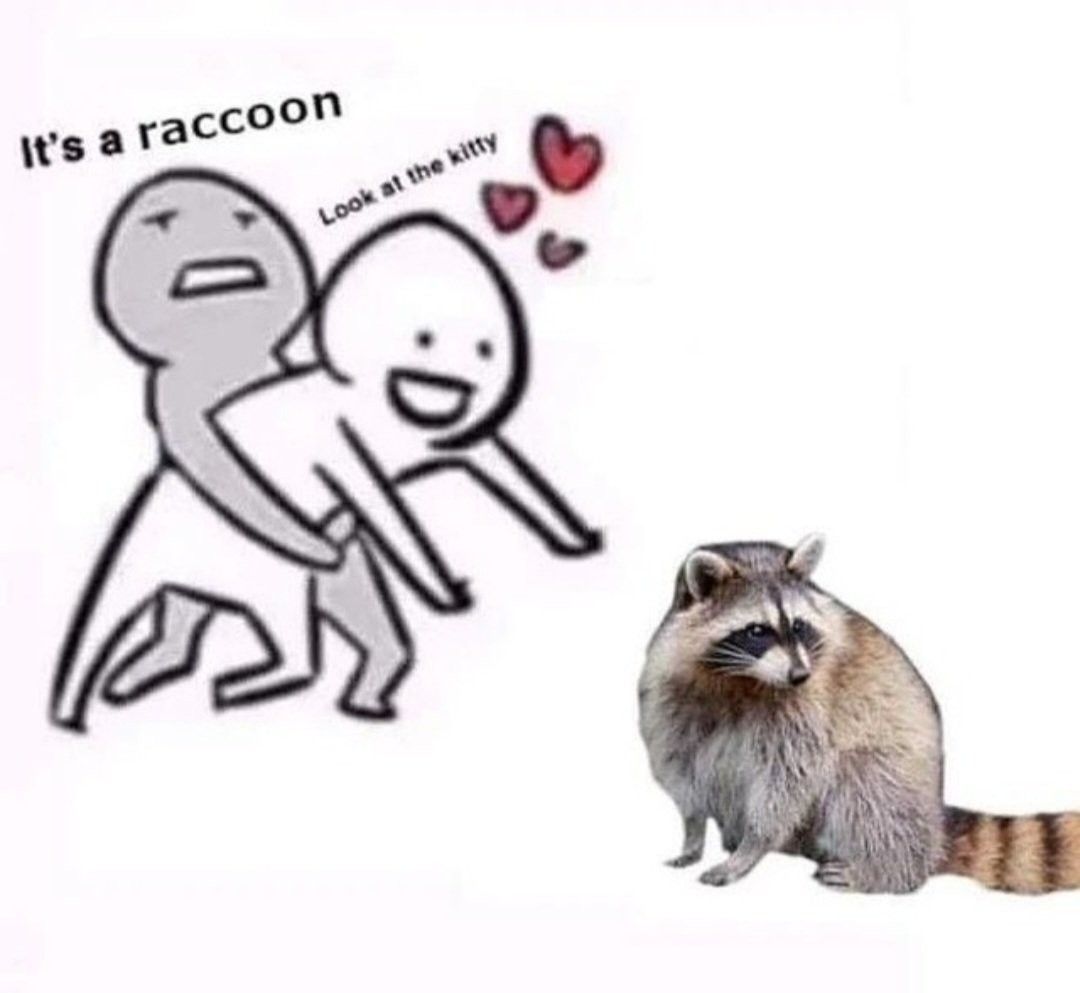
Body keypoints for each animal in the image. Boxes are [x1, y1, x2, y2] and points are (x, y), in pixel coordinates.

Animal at [638, 535, 1080, 894]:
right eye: (757, 630)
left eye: (798, 626)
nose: (799, 675)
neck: (739, 678)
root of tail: (934, 829)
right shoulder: (670, 691)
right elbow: (681, 766)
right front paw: (693, 833)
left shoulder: (808, 707)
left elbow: (789, 779)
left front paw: (752, 846)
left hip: (899, 784)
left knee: (864, 787)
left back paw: (881, 871)